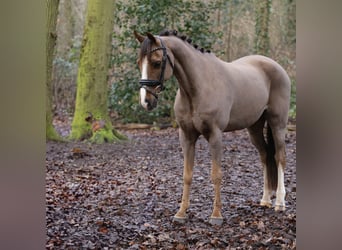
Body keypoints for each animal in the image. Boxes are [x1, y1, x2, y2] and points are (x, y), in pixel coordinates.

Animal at [134, 30, 292, 226]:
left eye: (156, 62)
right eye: (138, 63)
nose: (145, 101)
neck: (199, 87)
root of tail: (276, 66)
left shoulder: (215, 136)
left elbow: (216, 174)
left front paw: (216, 215)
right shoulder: (186, 137)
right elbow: (187, 175)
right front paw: (181, 213)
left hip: (278, 124)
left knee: (280, 157)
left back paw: (280, 202)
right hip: (254, 128)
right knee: (265, 156)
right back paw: (265, 200)